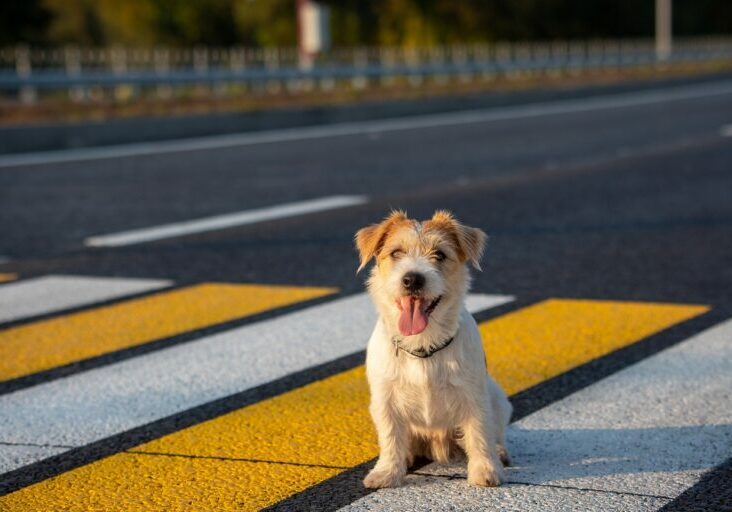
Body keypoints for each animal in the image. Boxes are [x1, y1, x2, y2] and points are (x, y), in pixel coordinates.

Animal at [354, 210, 508, 490]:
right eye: (396, 252)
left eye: (439, 254)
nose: (412, 278)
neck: (423, 344)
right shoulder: (385, 400)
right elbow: (390, 437)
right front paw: (387, 472)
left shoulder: (474, 396)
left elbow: (479, 432)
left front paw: (485, 470)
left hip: (497, 397)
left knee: (494, 432)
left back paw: (500, 453)